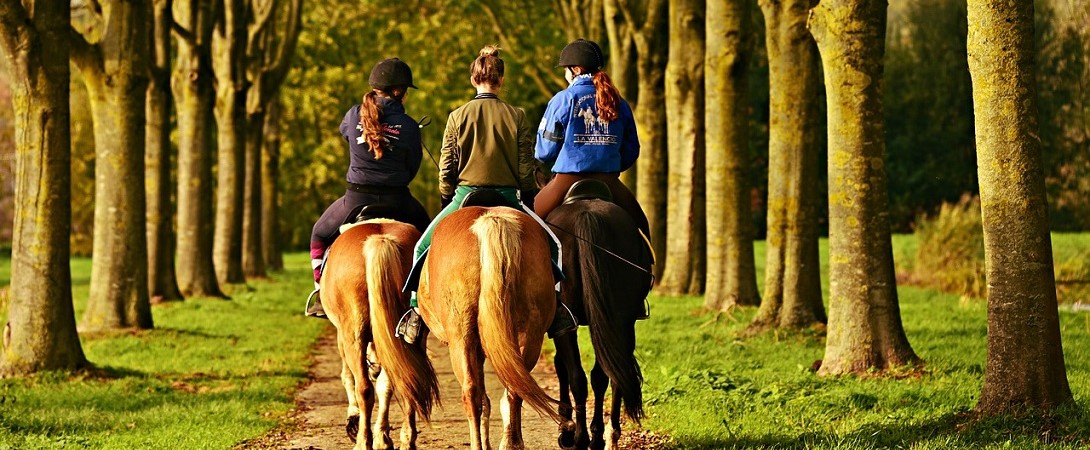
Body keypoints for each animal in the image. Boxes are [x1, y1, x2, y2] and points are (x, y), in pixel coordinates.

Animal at [320, 217, 440, 450]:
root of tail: (380, 239)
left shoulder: (341, 335)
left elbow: (347, 376)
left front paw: (353, 420)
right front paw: (382, 436)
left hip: (353, 334)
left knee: (364, 388)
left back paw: (363, 440)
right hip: (410, 337)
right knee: (403, 380)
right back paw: (402, 438)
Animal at [417, 204, 565, 450]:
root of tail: (491, 219)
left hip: (460, 338)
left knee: (471, 392)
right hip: (529, 335)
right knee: (515, 389)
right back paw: (511, 443)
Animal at [545, 181, 654, 450]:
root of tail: (587, 214)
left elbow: (562, 367)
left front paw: (565, 430)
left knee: (579, 377)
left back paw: (581, 437)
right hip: (620, 320)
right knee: (607, 374)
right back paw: (600, 436)